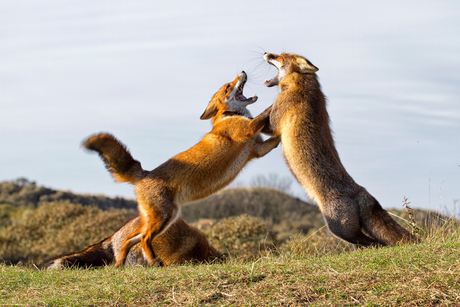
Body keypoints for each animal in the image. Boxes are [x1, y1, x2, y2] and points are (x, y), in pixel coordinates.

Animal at [82, 71, 280, 268]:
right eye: (227, 86)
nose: (242, 72)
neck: (229, 115)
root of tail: (143, 174)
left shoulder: (259, 149)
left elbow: (276, 139)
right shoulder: (249, 130)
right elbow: (264, 113)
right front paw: (279, 98)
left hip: (165, 219)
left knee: (130, 240)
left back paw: (120, 264)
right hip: (164, 218)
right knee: (144, 238)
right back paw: (153, 261)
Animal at [262, 51, 416, 247]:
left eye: (279, 56)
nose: (265, 53)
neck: (302, 84)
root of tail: (360, 191)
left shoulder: (274, 124)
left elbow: (263, 118)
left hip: (339, 229)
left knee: (374, 243)